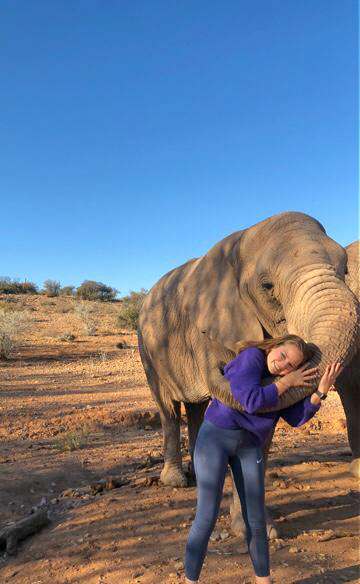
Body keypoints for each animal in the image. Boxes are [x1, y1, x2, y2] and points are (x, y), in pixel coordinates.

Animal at [136, 213, 358, 532]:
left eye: (346, 269)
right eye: (267, 286)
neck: (243, 239)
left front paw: (261, 529)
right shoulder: (212, 327)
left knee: (197, 409)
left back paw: (200, 472)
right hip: (147, 348)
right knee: (168, 408)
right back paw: (176, 481)